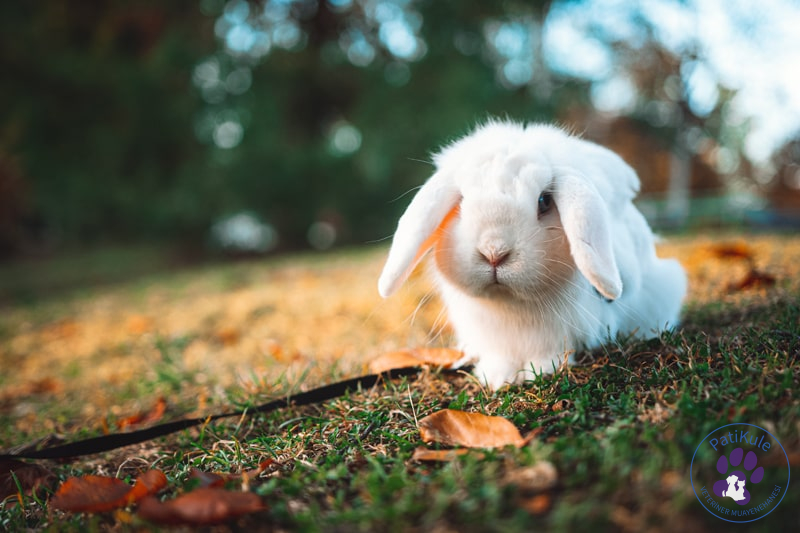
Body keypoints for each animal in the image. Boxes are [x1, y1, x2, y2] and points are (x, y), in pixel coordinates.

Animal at [378, 120, 687, 389]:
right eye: (461, 202)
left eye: (544, 201)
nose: (494, 252)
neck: (511, 307)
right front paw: (496, 377)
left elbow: (551, 352)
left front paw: (538, 372)